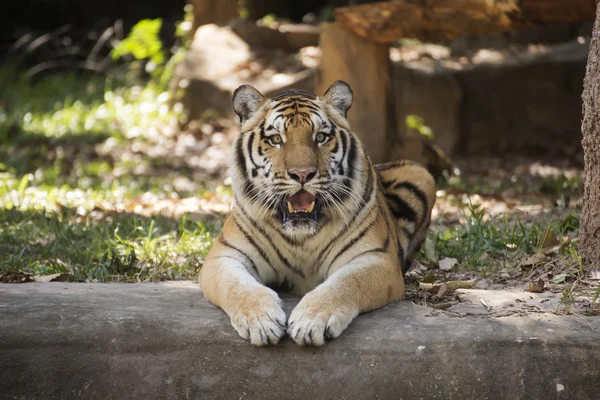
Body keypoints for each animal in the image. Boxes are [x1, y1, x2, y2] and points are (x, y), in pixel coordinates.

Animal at [199, 81, 434, 346]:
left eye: (320, 137)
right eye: (275, 139)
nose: (302, 174)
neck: (301, 236)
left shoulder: (376, 258)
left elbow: (346, 283)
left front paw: (311, 321)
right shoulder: (225, 257)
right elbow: (239, 287)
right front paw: (261, 320)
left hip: (420, 173)